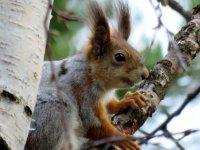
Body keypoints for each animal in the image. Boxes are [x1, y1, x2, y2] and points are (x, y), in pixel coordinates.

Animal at [24, 0, 148, 149]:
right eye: (119, 57)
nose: (145, 75)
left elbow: (110, 105)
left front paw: (130, 99)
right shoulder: (82, 91)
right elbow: (94, 125)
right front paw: (123, 139)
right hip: (52, 111)